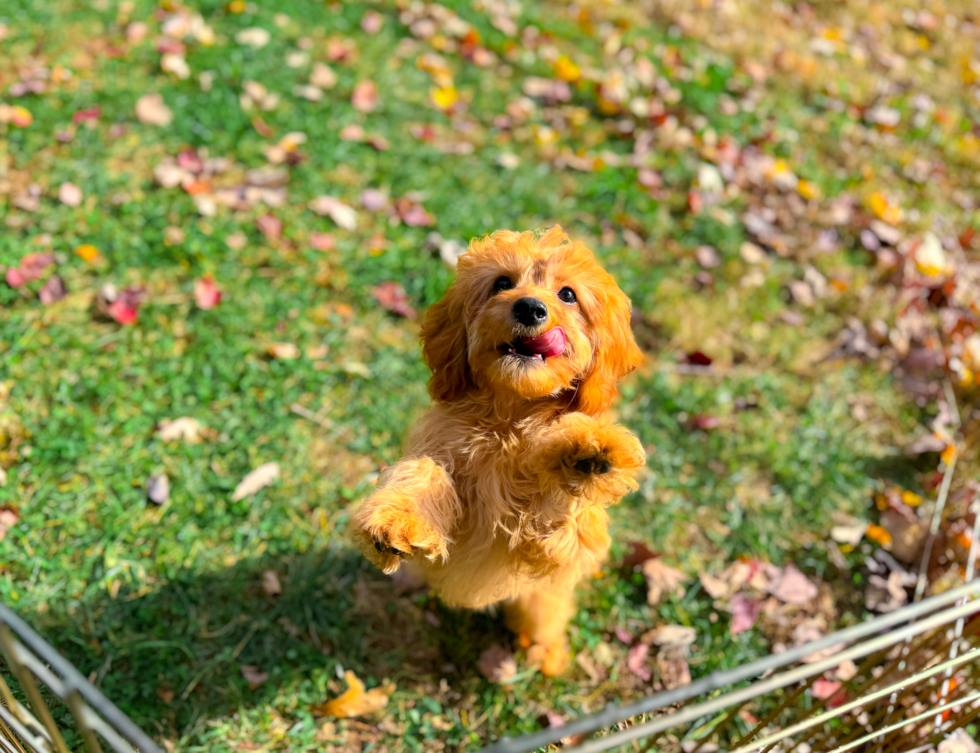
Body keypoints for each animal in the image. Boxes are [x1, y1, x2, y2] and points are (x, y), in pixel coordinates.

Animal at [356, 225, 648, 676]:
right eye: (502, 283)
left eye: (568, 295)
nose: (530, 307)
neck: (507, 420)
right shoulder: (444, 456)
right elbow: (426, 471)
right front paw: (397, 520)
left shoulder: (567, 547)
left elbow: (561, 517)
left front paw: (587, 454)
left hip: (542, 600)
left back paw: (545, 653)